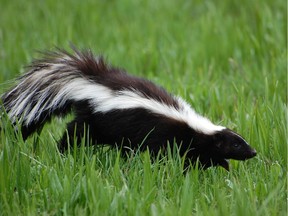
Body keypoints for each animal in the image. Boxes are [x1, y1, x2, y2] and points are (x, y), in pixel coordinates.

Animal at [0, 47, 256, 170]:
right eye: (237, 144)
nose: (254, 152)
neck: (194, 126)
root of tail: (91, 82)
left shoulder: (195, 144)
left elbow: (200, 157)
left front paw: (222, 166)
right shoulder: (167, 136)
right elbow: (169, 155)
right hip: (96, 120)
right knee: (76, 133)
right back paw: (63, 151)